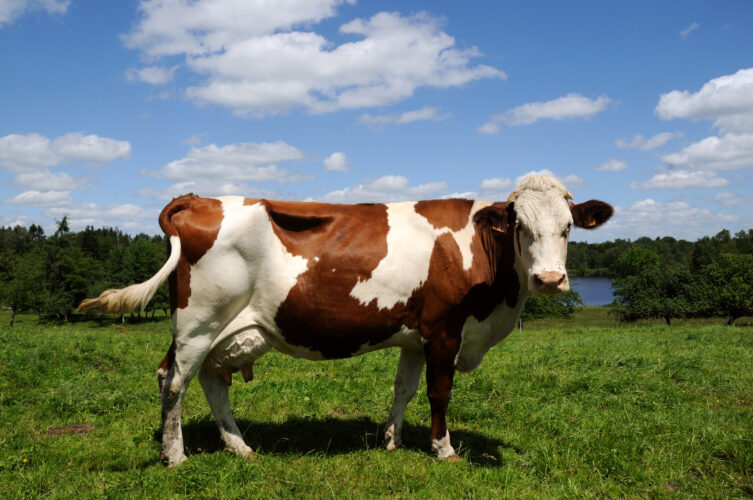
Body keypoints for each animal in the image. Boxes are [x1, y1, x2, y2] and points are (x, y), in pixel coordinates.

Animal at [78, 175, 612, 466]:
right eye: (520, 226)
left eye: (568, 227)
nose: (549, 279)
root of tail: (199, 197)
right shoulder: (444, 329)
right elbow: (439, 392)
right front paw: (443, 449)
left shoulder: (414, 336)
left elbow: (404, 389)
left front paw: (393, 440)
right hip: (198, 321)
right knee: (174, 381)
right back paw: (175, 455)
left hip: (224, 330)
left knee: (211, 380)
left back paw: (239, 447)